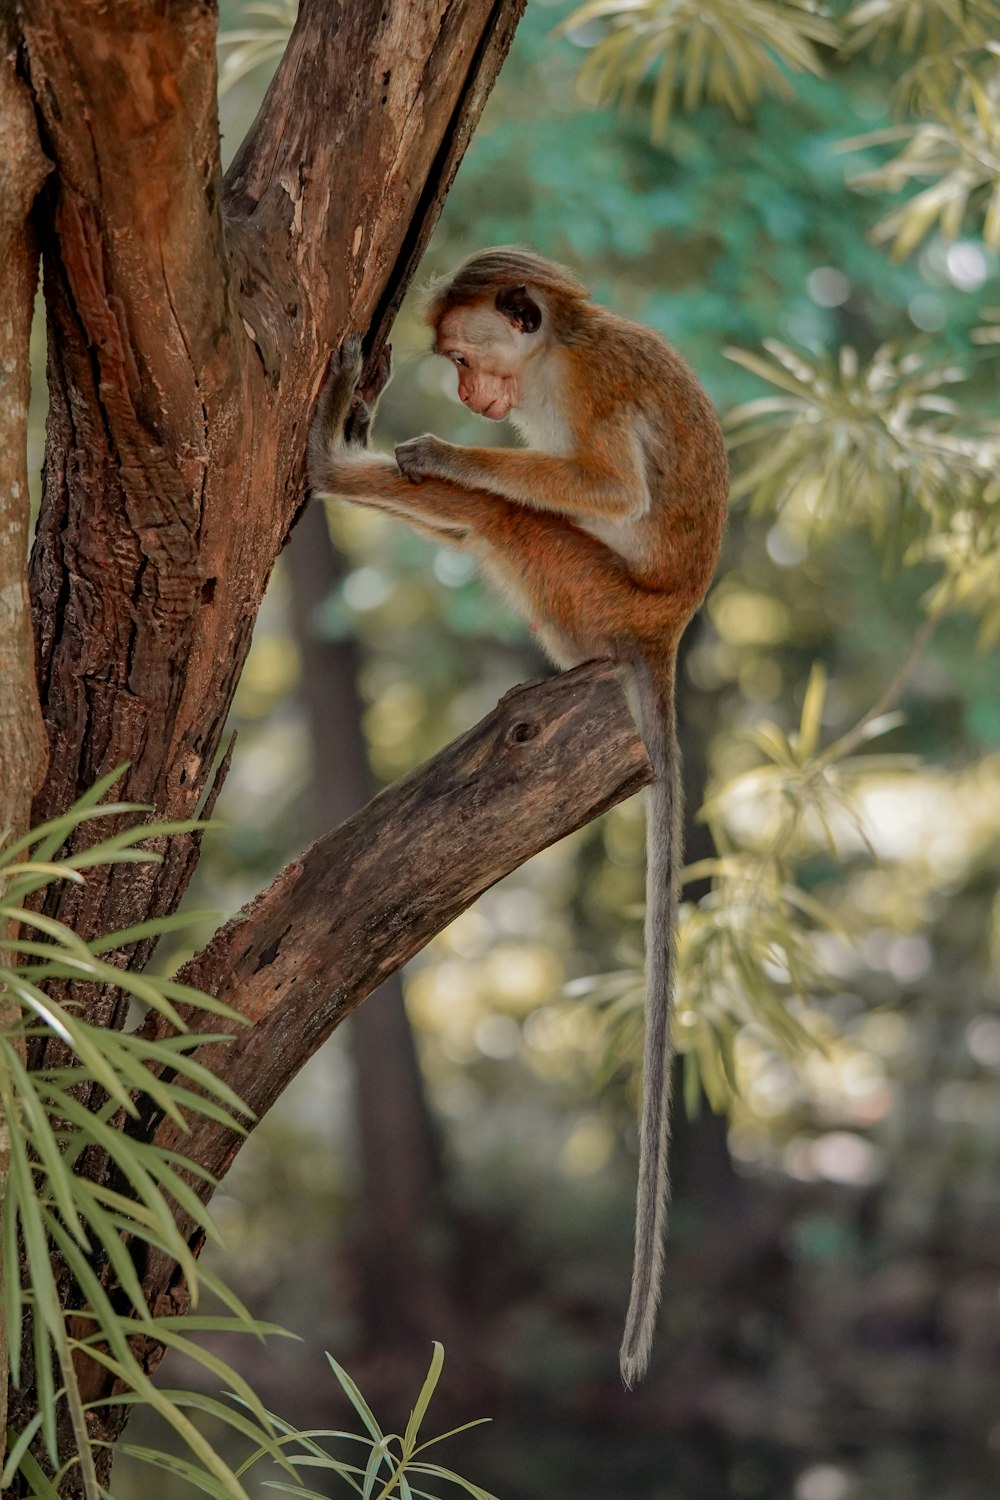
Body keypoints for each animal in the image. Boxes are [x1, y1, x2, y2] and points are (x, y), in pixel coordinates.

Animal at [305, 246, 728, 1380]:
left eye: (463, 356)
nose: (463, 395)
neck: (557, 347)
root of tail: (664, 628)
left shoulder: (586, 386)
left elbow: (607, 485)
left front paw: (436, 449)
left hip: (594, 596)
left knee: (511, 517)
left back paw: (332, 466)